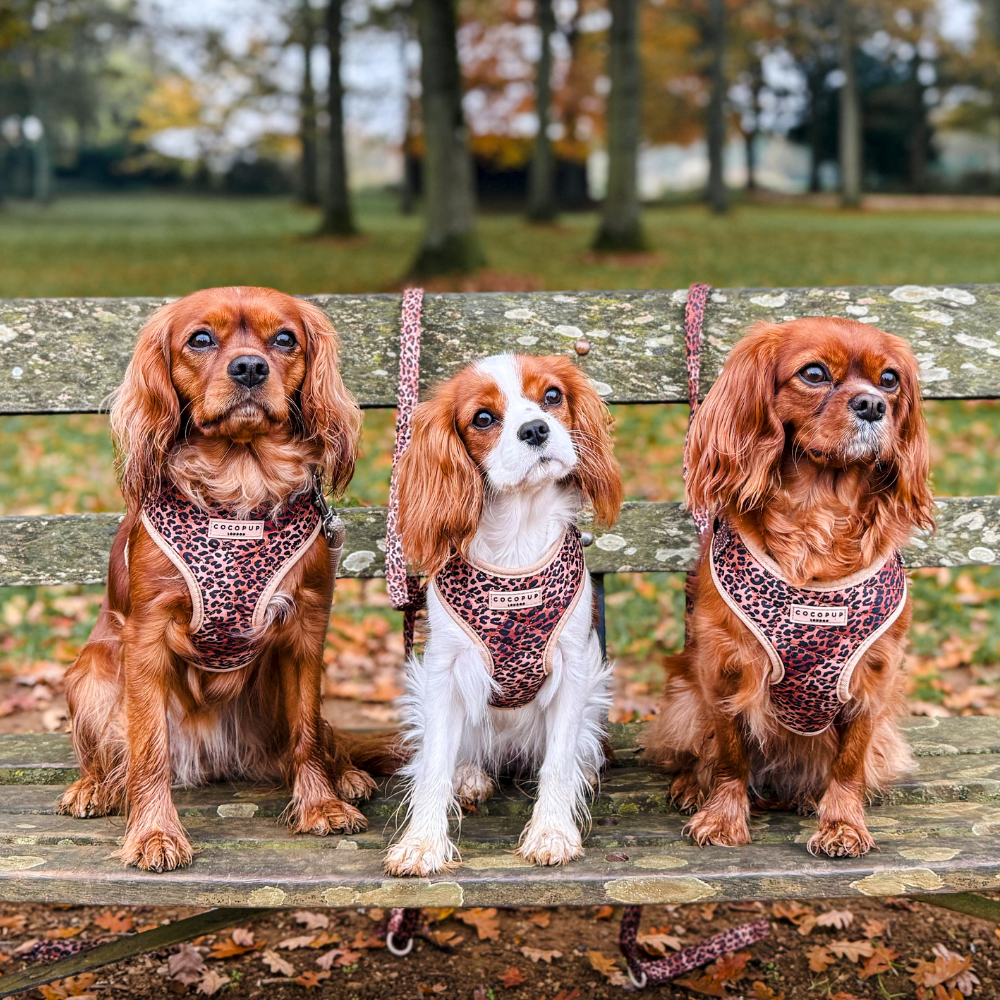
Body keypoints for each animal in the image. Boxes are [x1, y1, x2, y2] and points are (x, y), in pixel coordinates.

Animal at [60, 288, 396, 868]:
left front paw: (320, 806)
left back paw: (347, 775)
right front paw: (155, 834)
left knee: (322, 734)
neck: (241, 480)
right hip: (92, 672)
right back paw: (94, 786)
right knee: (113, 755)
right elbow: (148, 750)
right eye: (200, 339)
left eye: (284, 339)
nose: (249, 367)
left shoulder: (307, 627)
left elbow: (307, 732)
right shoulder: (145, 636)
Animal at [644, 316, 932, 856]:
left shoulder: (872, 679)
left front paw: (842, 824)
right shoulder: (724, 670)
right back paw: (693, 784)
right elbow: (730, 755)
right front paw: (723, 816)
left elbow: (849, 763)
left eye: (889, 380)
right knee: (698, 750)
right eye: (814, 373)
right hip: (683, 699)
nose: (873, 405)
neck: (820, 515)